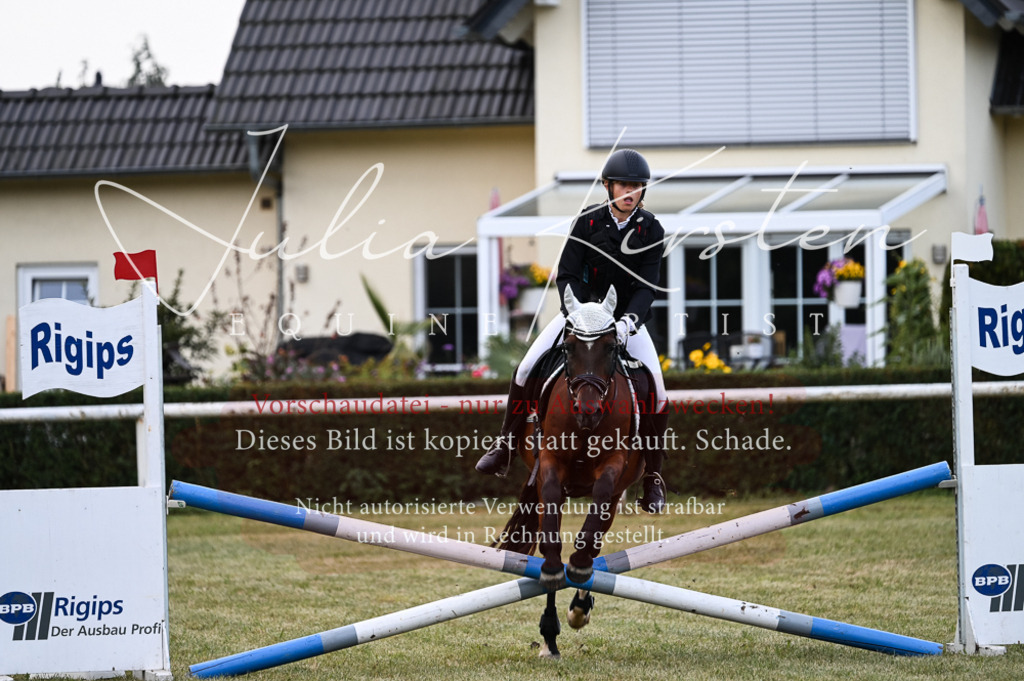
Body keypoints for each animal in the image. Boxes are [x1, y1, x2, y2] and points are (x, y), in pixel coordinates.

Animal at [495, 285, 649, 658]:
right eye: (568, 348)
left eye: (611, 348)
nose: (588, 410)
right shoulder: (550, 464)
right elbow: (550, 515)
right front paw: (553, 566)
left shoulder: (614, 467)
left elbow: (598, 509)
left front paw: (578, 566)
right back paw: (550, 636)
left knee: (598, 534)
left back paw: (579, 602)